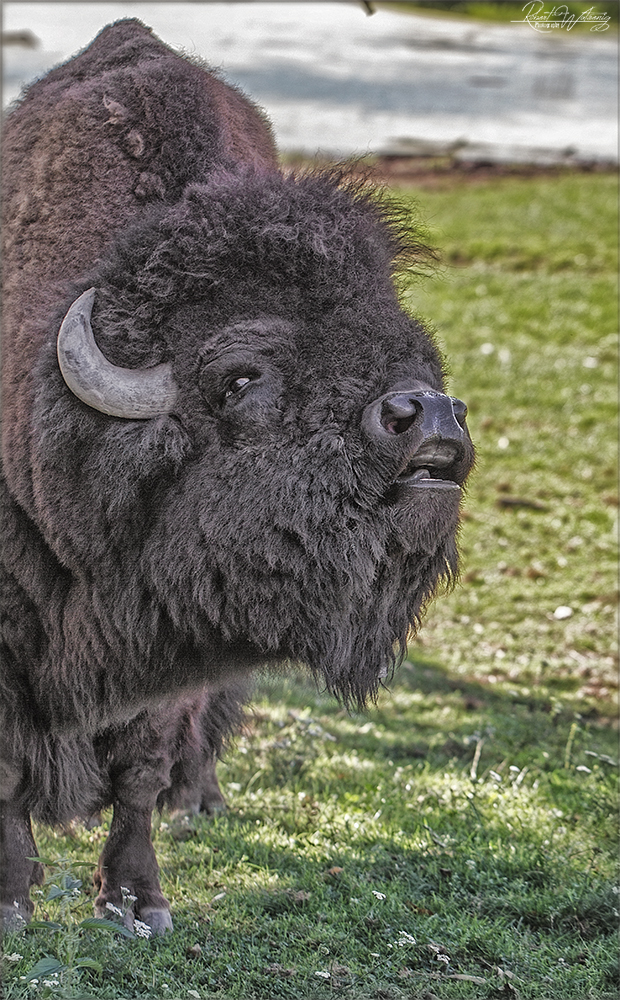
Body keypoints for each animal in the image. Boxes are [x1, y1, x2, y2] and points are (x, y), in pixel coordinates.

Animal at [1, 19, 474, 932]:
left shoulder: (178, 640)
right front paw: (12, 896)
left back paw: (202, 799)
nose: (430, 416)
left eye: (412, 350)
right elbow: (7, 769)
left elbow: (141, 766)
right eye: (244, 376)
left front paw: (138, 902)